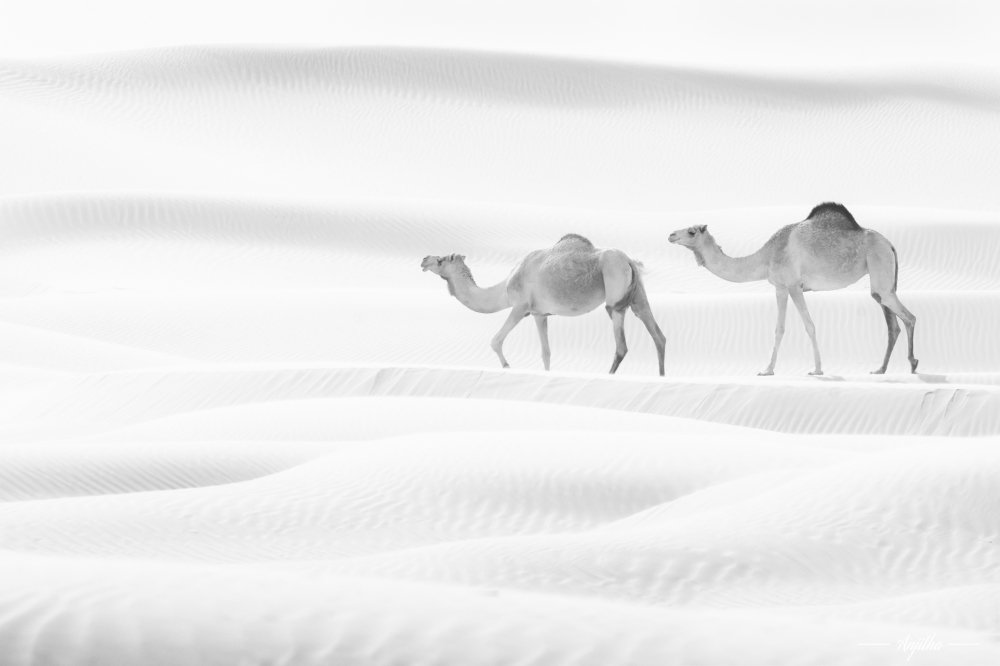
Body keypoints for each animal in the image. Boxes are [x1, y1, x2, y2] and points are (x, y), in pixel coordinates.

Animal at [421, 234, 666, 375]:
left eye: (441, 260)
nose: (424, 259)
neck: (504, 289)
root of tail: (629, 261)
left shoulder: (520, 307)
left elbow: (496, 340)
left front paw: (507, 366)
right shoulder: (539, 314)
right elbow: (546, 353)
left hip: (614, 293)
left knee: (621, 344)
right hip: (638, 295)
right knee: (658, 335)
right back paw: (661, 376)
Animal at [668, 203, 917, 376]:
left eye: (691, 231)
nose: (671, 234)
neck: (766, 257)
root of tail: (890, 244)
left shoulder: (793, 285)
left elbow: (809, 325)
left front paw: (817, 369)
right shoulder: (780, 287)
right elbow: (779, 328)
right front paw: (767, 370)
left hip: (880, 266)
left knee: (909, 316)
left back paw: (913, 364)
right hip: (880, 282)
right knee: (892, 321)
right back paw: (881, 369)